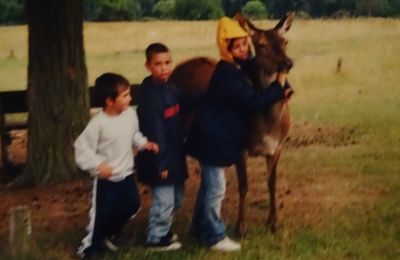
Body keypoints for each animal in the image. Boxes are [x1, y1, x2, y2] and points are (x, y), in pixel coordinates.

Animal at [169, 12, 294, 236]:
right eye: (261, 44)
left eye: (285, 41)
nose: (287, 63)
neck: (267, 128)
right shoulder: (240, 148)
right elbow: (243, 186)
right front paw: (240, 227)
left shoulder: (278, 146)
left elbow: (272, 182)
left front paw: (273, 223)